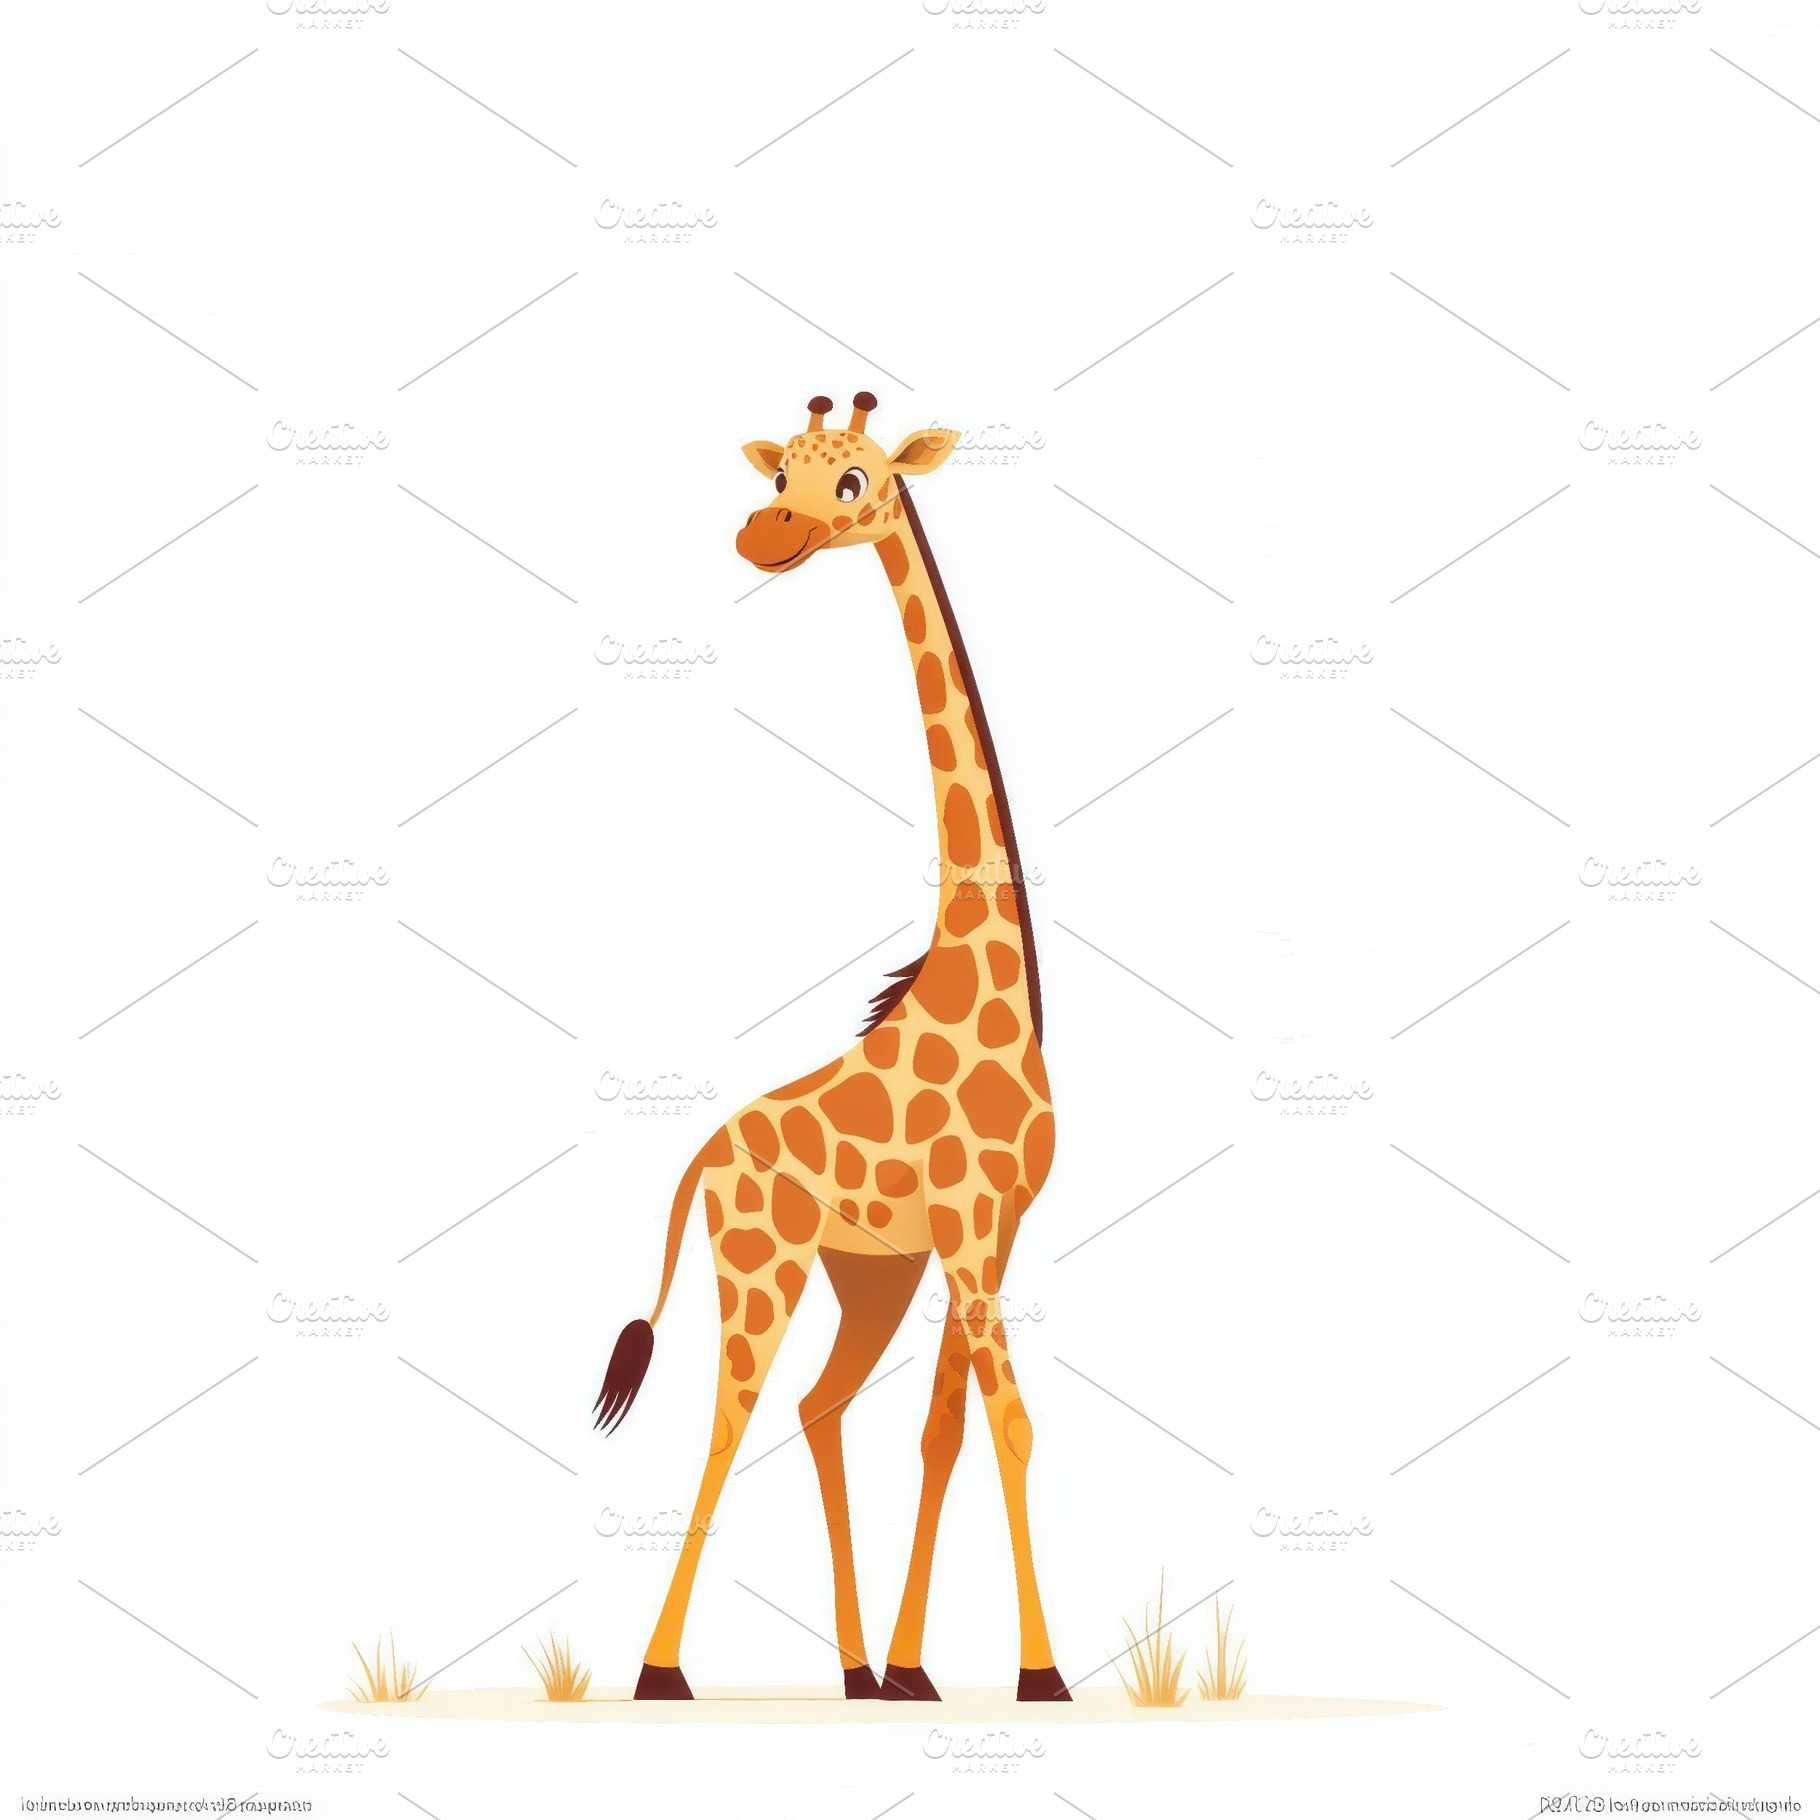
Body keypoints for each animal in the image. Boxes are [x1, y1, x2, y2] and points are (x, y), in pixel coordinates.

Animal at [594, 391, 1066, 1704]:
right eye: (782, 475)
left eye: (853, 480)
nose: (763, 534)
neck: (987, 978)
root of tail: (702, 1156)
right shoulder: (967, 1233)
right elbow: (1010, 1425)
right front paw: (1042, 1674)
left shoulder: (984, 1234)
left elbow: (949, 1430)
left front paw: (921, 1664)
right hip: (762, 1263)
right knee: (730, 1417)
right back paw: (659, 1671)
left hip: (866, 1275)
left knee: (816, 1406)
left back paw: (863, 1671)